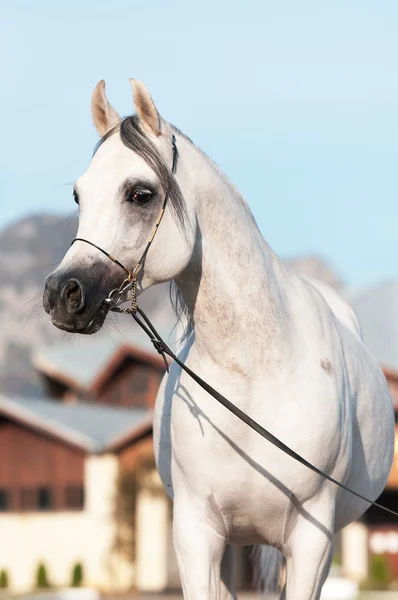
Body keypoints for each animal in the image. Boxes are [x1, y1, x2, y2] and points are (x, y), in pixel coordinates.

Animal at [44, 79, 394, 600]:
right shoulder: (197, 536)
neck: (255, 374)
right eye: (77, 195)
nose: (62, 295)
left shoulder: (312, 542)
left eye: (140, 193)